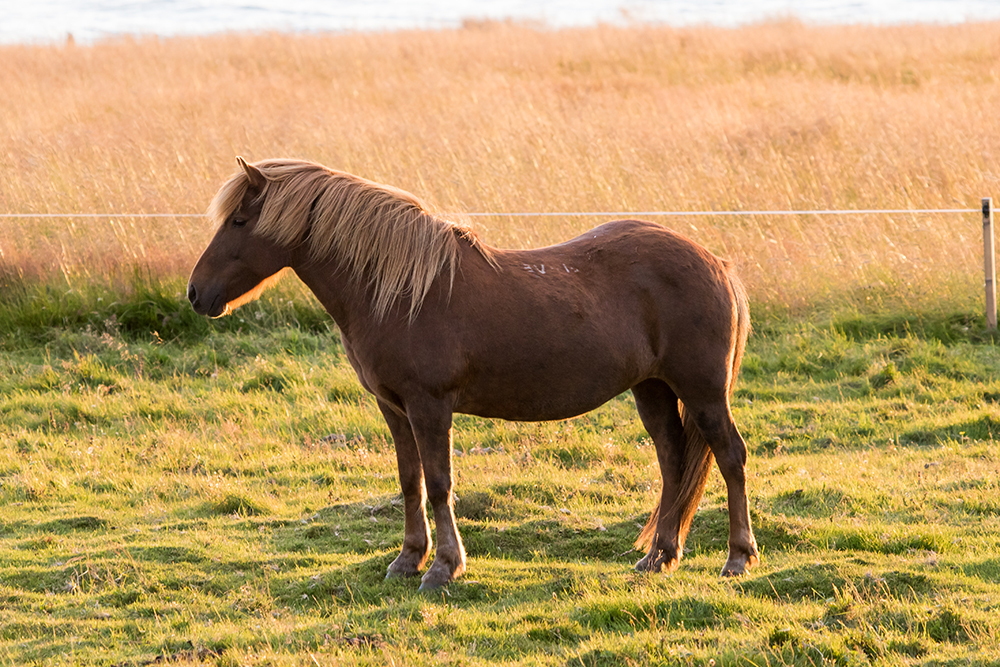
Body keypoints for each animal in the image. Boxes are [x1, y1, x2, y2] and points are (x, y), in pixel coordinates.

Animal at [188, 157, 756, 588]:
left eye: (239, 222)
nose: (196, 294)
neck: (401, 292)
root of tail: (717, 262)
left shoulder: (430, 406)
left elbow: (440, 483)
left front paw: (442, 568)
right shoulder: (394, 408)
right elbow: (410, 481)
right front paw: (407, 560)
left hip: (703, 392)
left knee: (730, 456)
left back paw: (737, 558)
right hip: (652, 389)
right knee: (672, 461)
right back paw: (659, 556)